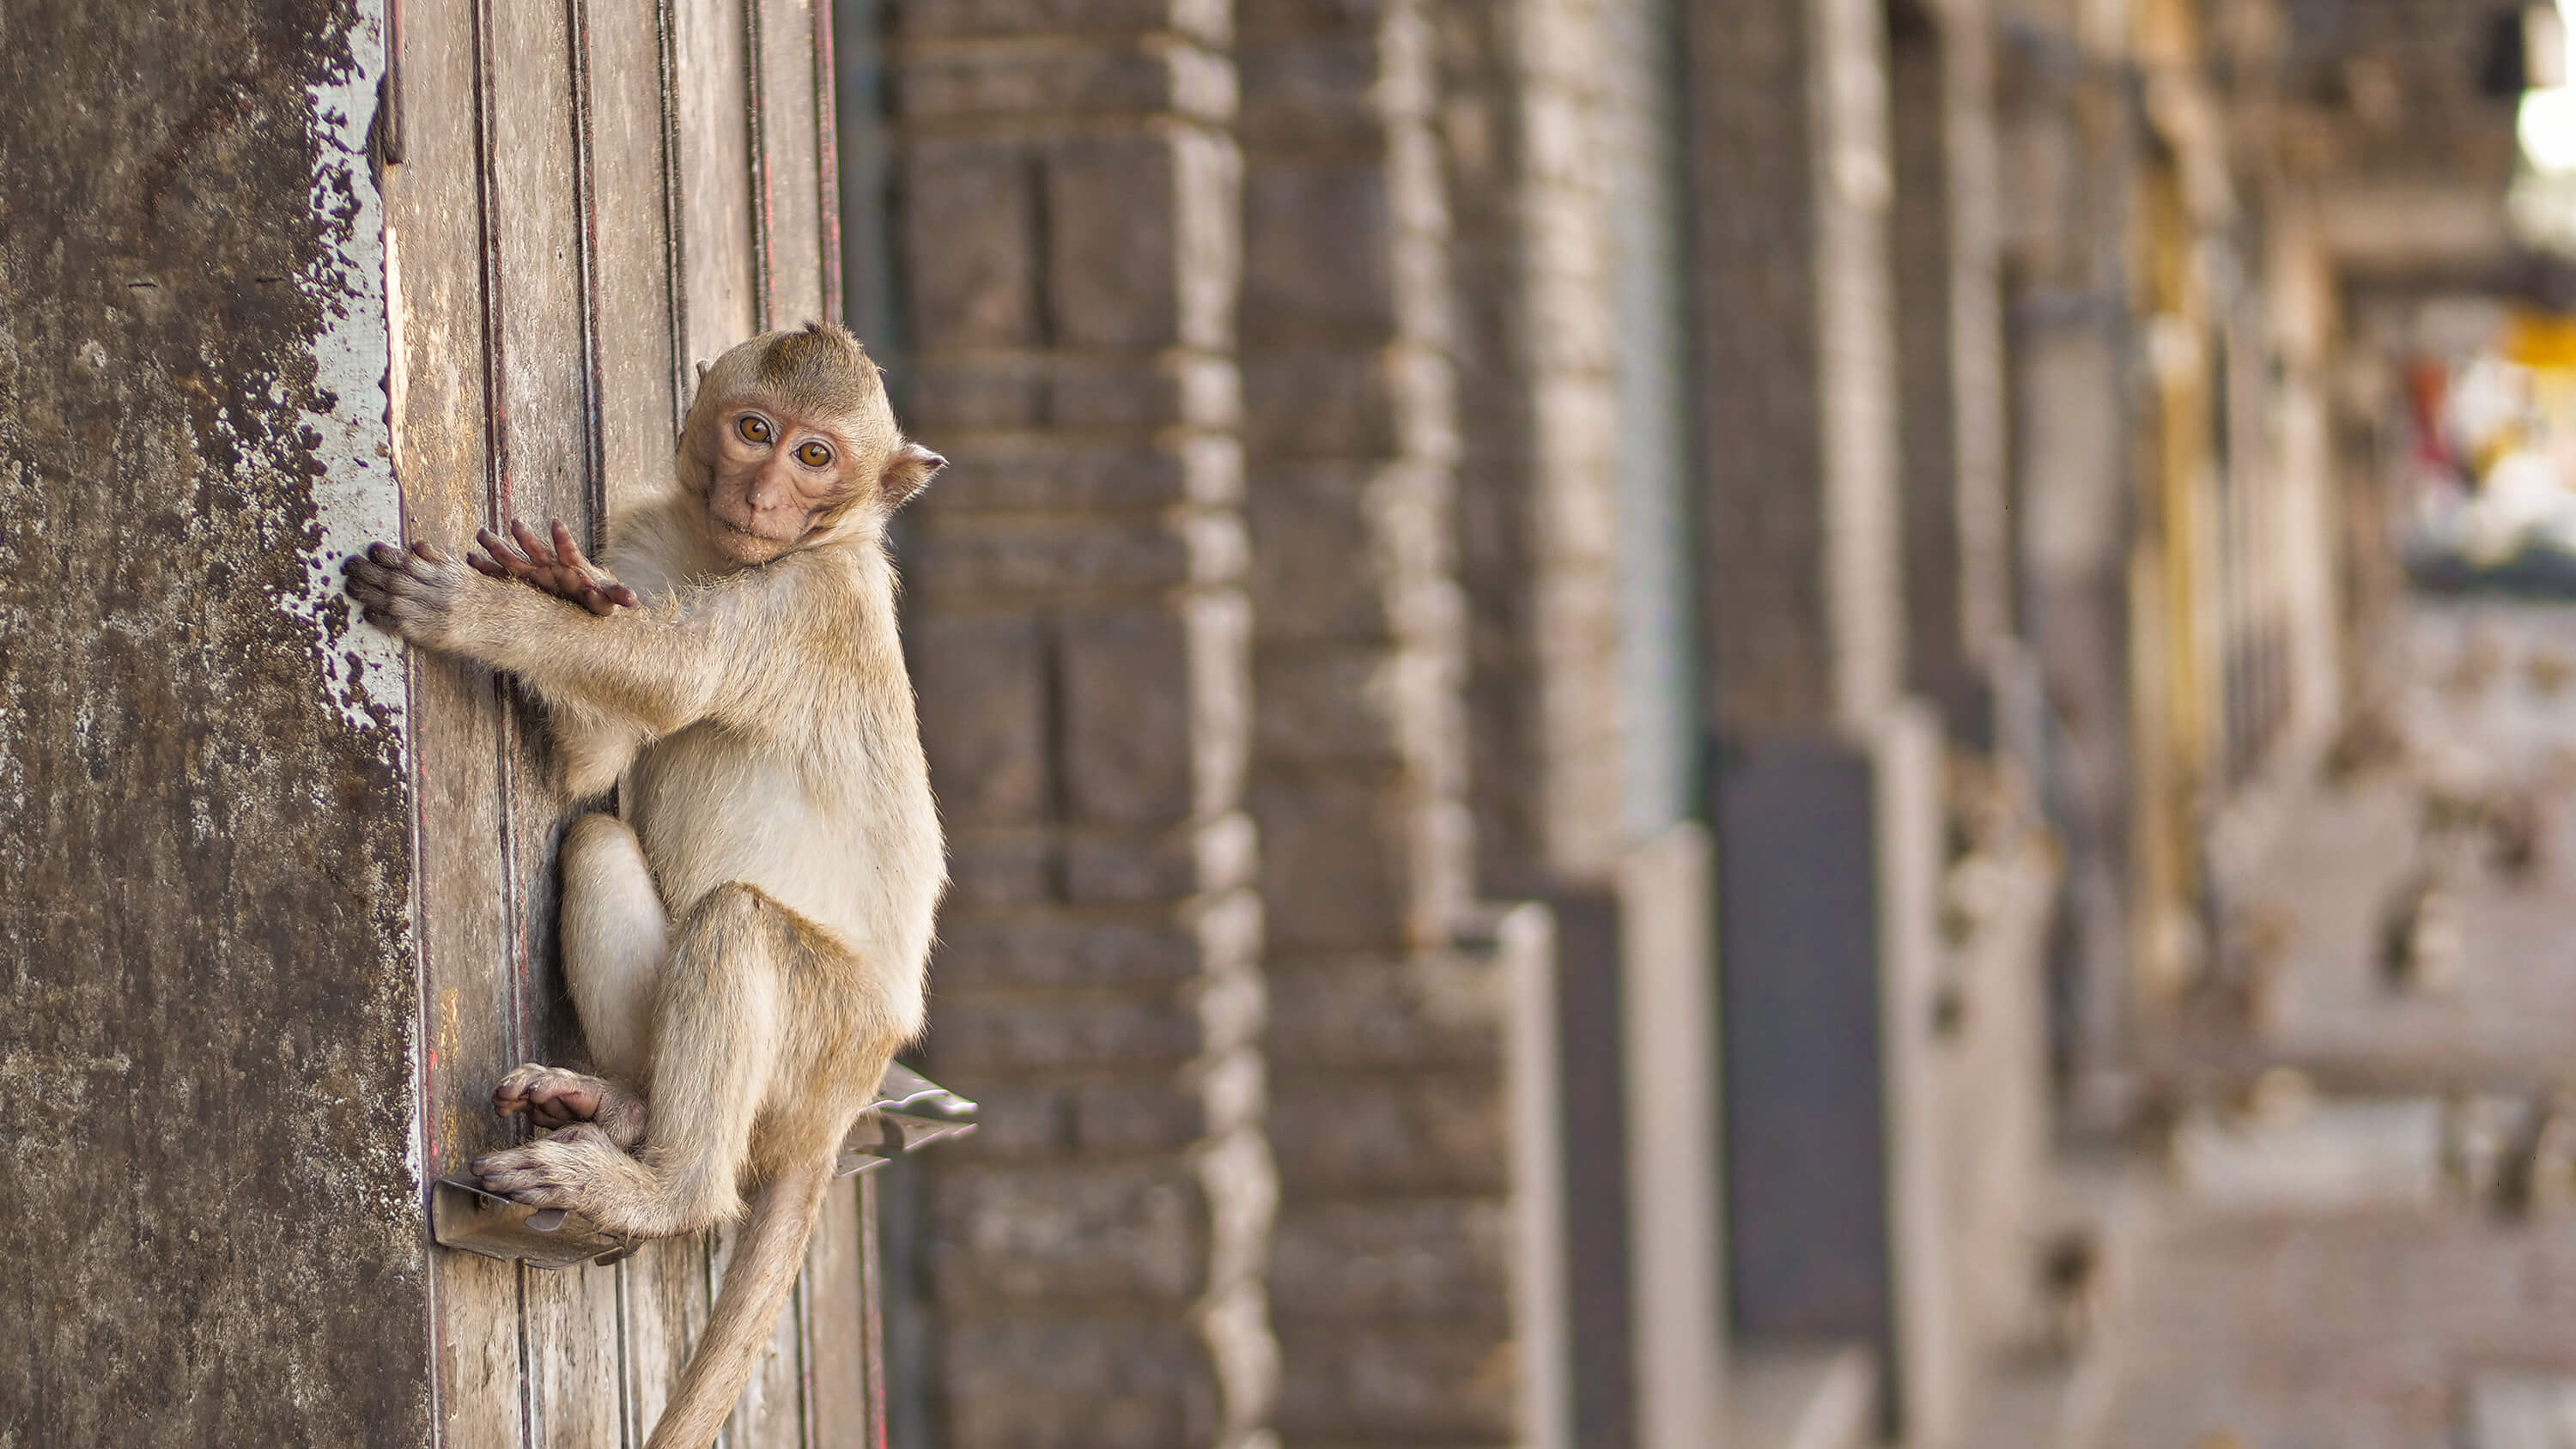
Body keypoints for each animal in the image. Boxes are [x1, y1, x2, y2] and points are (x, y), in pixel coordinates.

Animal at [343, 323, 948, 1441]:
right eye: (754, 428)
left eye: (816, 455)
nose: (764, 491)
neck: (739, 555)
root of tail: (842, 1106)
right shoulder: (646, 537)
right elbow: (592, 765)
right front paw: (570, 591)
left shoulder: (800, 599)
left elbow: (675, 679)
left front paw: (483, 612)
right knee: (595, 842)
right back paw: (622, 1106)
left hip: (828, 1034)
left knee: (737, 923)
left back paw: (668, 1189)